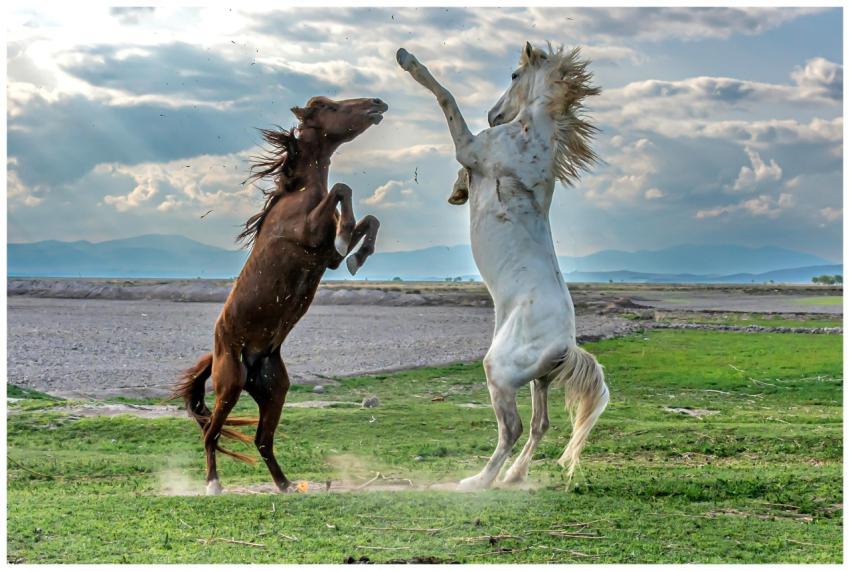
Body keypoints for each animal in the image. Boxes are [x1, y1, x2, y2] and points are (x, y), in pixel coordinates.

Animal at [172, 95, 388, 495]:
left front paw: (359, 256)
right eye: (330, 106)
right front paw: (350, 240)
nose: (377, 103)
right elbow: (343, 190)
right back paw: (213, 484)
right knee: (211, 434)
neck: (298, 197)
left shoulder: (327, 258)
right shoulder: (310, 236)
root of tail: (219, 352)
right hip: (230, 384)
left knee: (262, 440)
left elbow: (368, 221)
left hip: (274, 389)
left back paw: (286, 484)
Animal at [397, 42, 608, 490]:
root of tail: (565, 346)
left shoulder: (470, 146)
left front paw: (407, 59)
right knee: (540, 425)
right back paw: (512, 476)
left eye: (514, 75)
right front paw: (458, 192)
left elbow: (445, 96)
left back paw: (478, 481)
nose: (494, 115)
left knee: (512, 428)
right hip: (538, 381)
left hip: (499, 372)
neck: (533, 138)